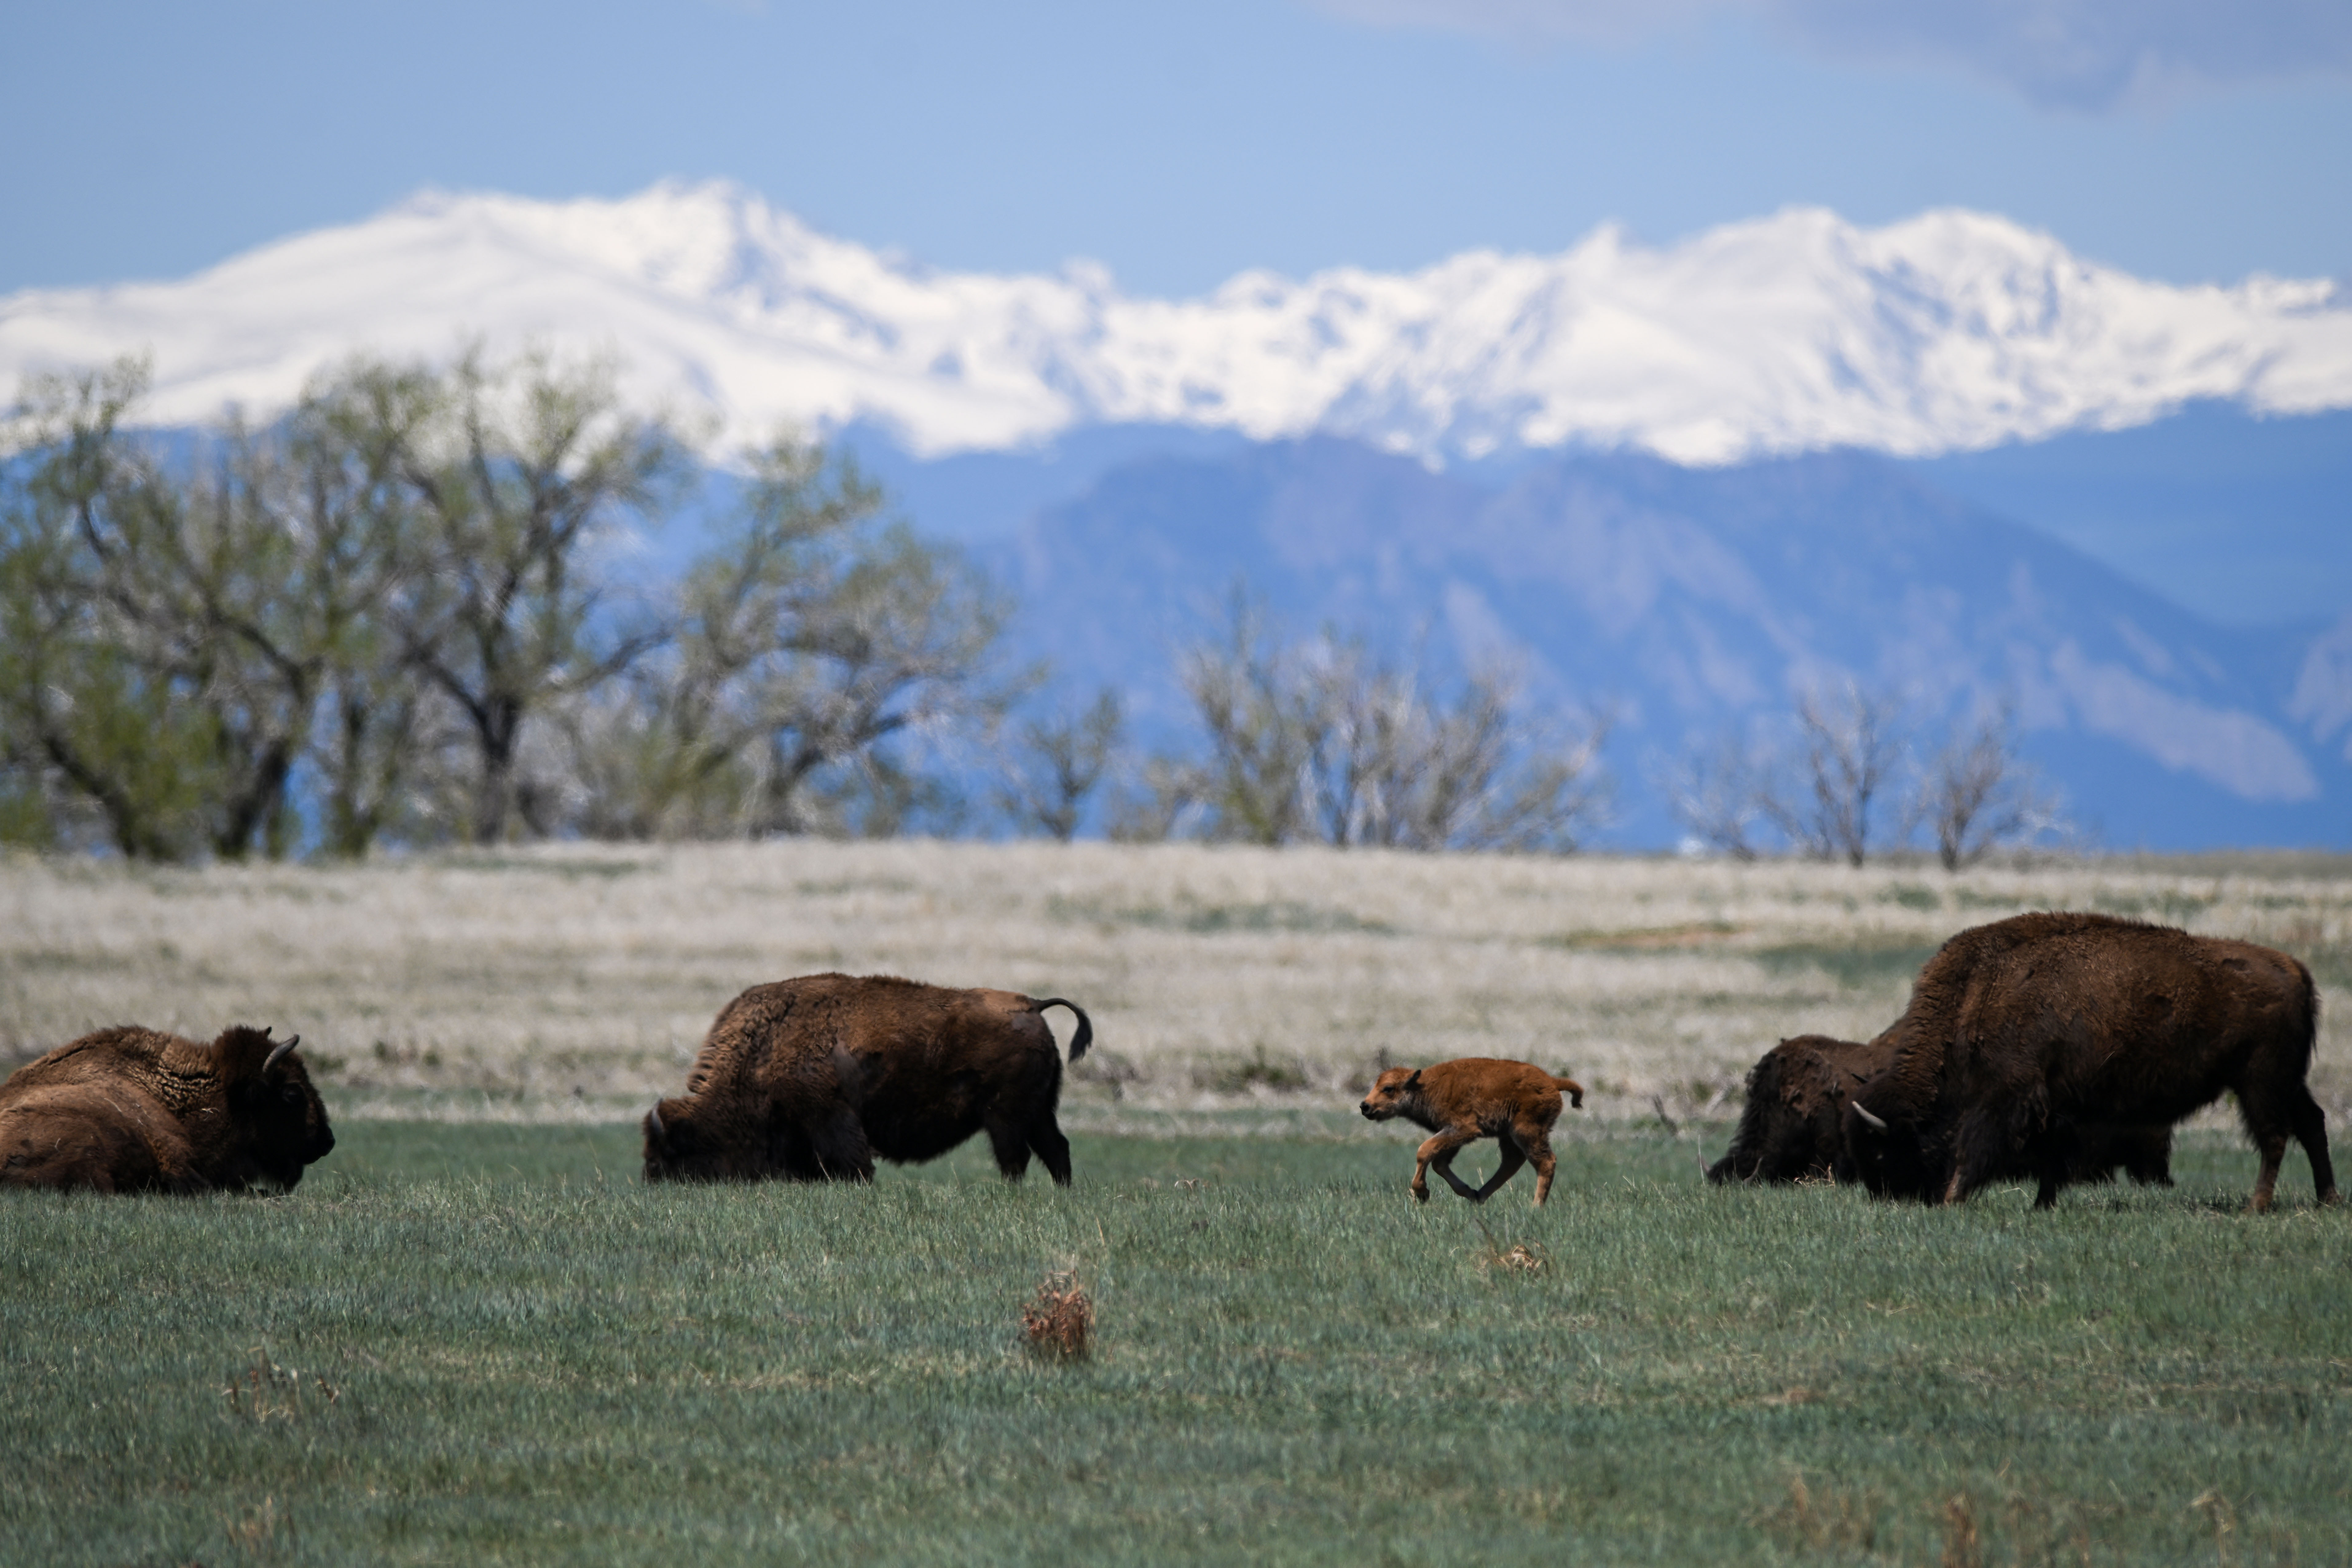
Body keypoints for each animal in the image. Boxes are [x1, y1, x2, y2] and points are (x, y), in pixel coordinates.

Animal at [642, 973, 1093, 1185]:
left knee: (1015, 1157)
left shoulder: (830, 1116)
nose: (653, 1182)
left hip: (1006, 1115)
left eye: (668, 1154)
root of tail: (1032, 1004)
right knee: (1056, 1148)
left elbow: (853, 1162)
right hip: (1038, 1111)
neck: (763, 1049)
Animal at [1842, 912, 2334, 1211]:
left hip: (2259, 1082)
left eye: (1882, 1149)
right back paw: (2326, 1198)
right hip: (2287, 1081)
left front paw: (1952, 1199)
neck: (1976, 994)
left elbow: (1975, 1149)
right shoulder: (2051, 1105)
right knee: (2311, 1124)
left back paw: (2256, 1206)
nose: (1888, 1199)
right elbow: (2049, 1158)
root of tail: (2294, 968)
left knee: (2273, 1137)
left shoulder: (2006, 1097)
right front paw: (2041, 1205)